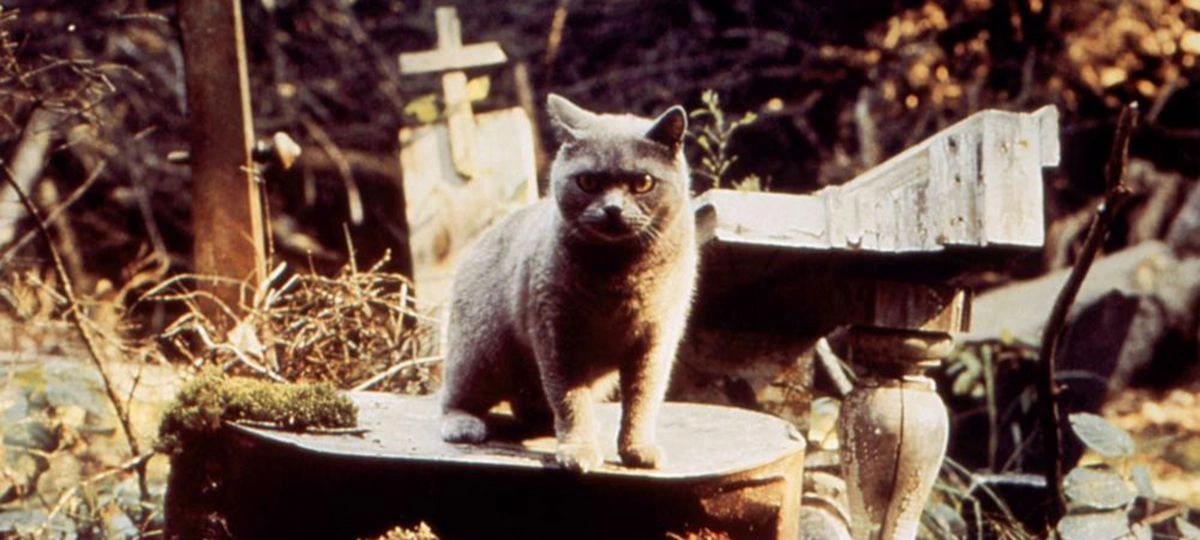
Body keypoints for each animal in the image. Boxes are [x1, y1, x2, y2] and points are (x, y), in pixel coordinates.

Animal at [439, 93, 698, 473]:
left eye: (643, 183)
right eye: (588, 182)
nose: (613, 209)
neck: (619, 274)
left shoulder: (656, 338)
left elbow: (643, 398)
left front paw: (638, 448)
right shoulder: (558, 333)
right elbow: (570, 398)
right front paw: (578, 450)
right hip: (481, 350)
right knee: (453, 394)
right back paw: (464, 424)